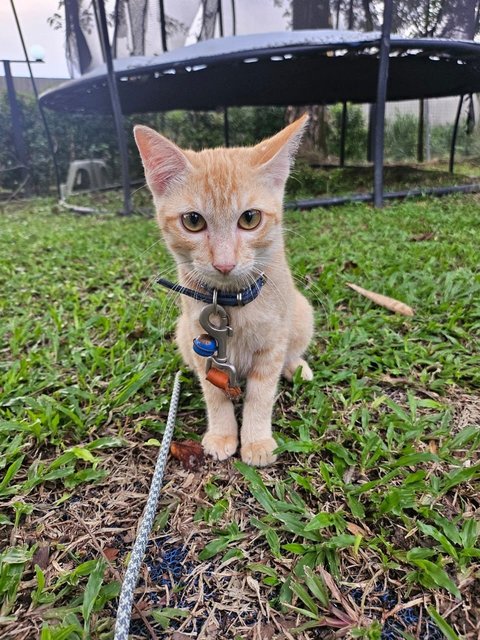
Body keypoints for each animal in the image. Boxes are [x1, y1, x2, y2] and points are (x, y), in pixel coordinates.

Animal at [135, 114, 316, 464]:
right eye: (193, 221)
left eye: (250, 218)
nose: (224, 263)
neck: (230, 300)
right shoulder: (200, 344)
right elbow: (215, 395)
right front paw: (222, 434)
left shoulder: (272, 345)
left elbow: (261, 395)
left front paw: (256, 441)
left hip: (302, 315)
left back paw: (296, 367)